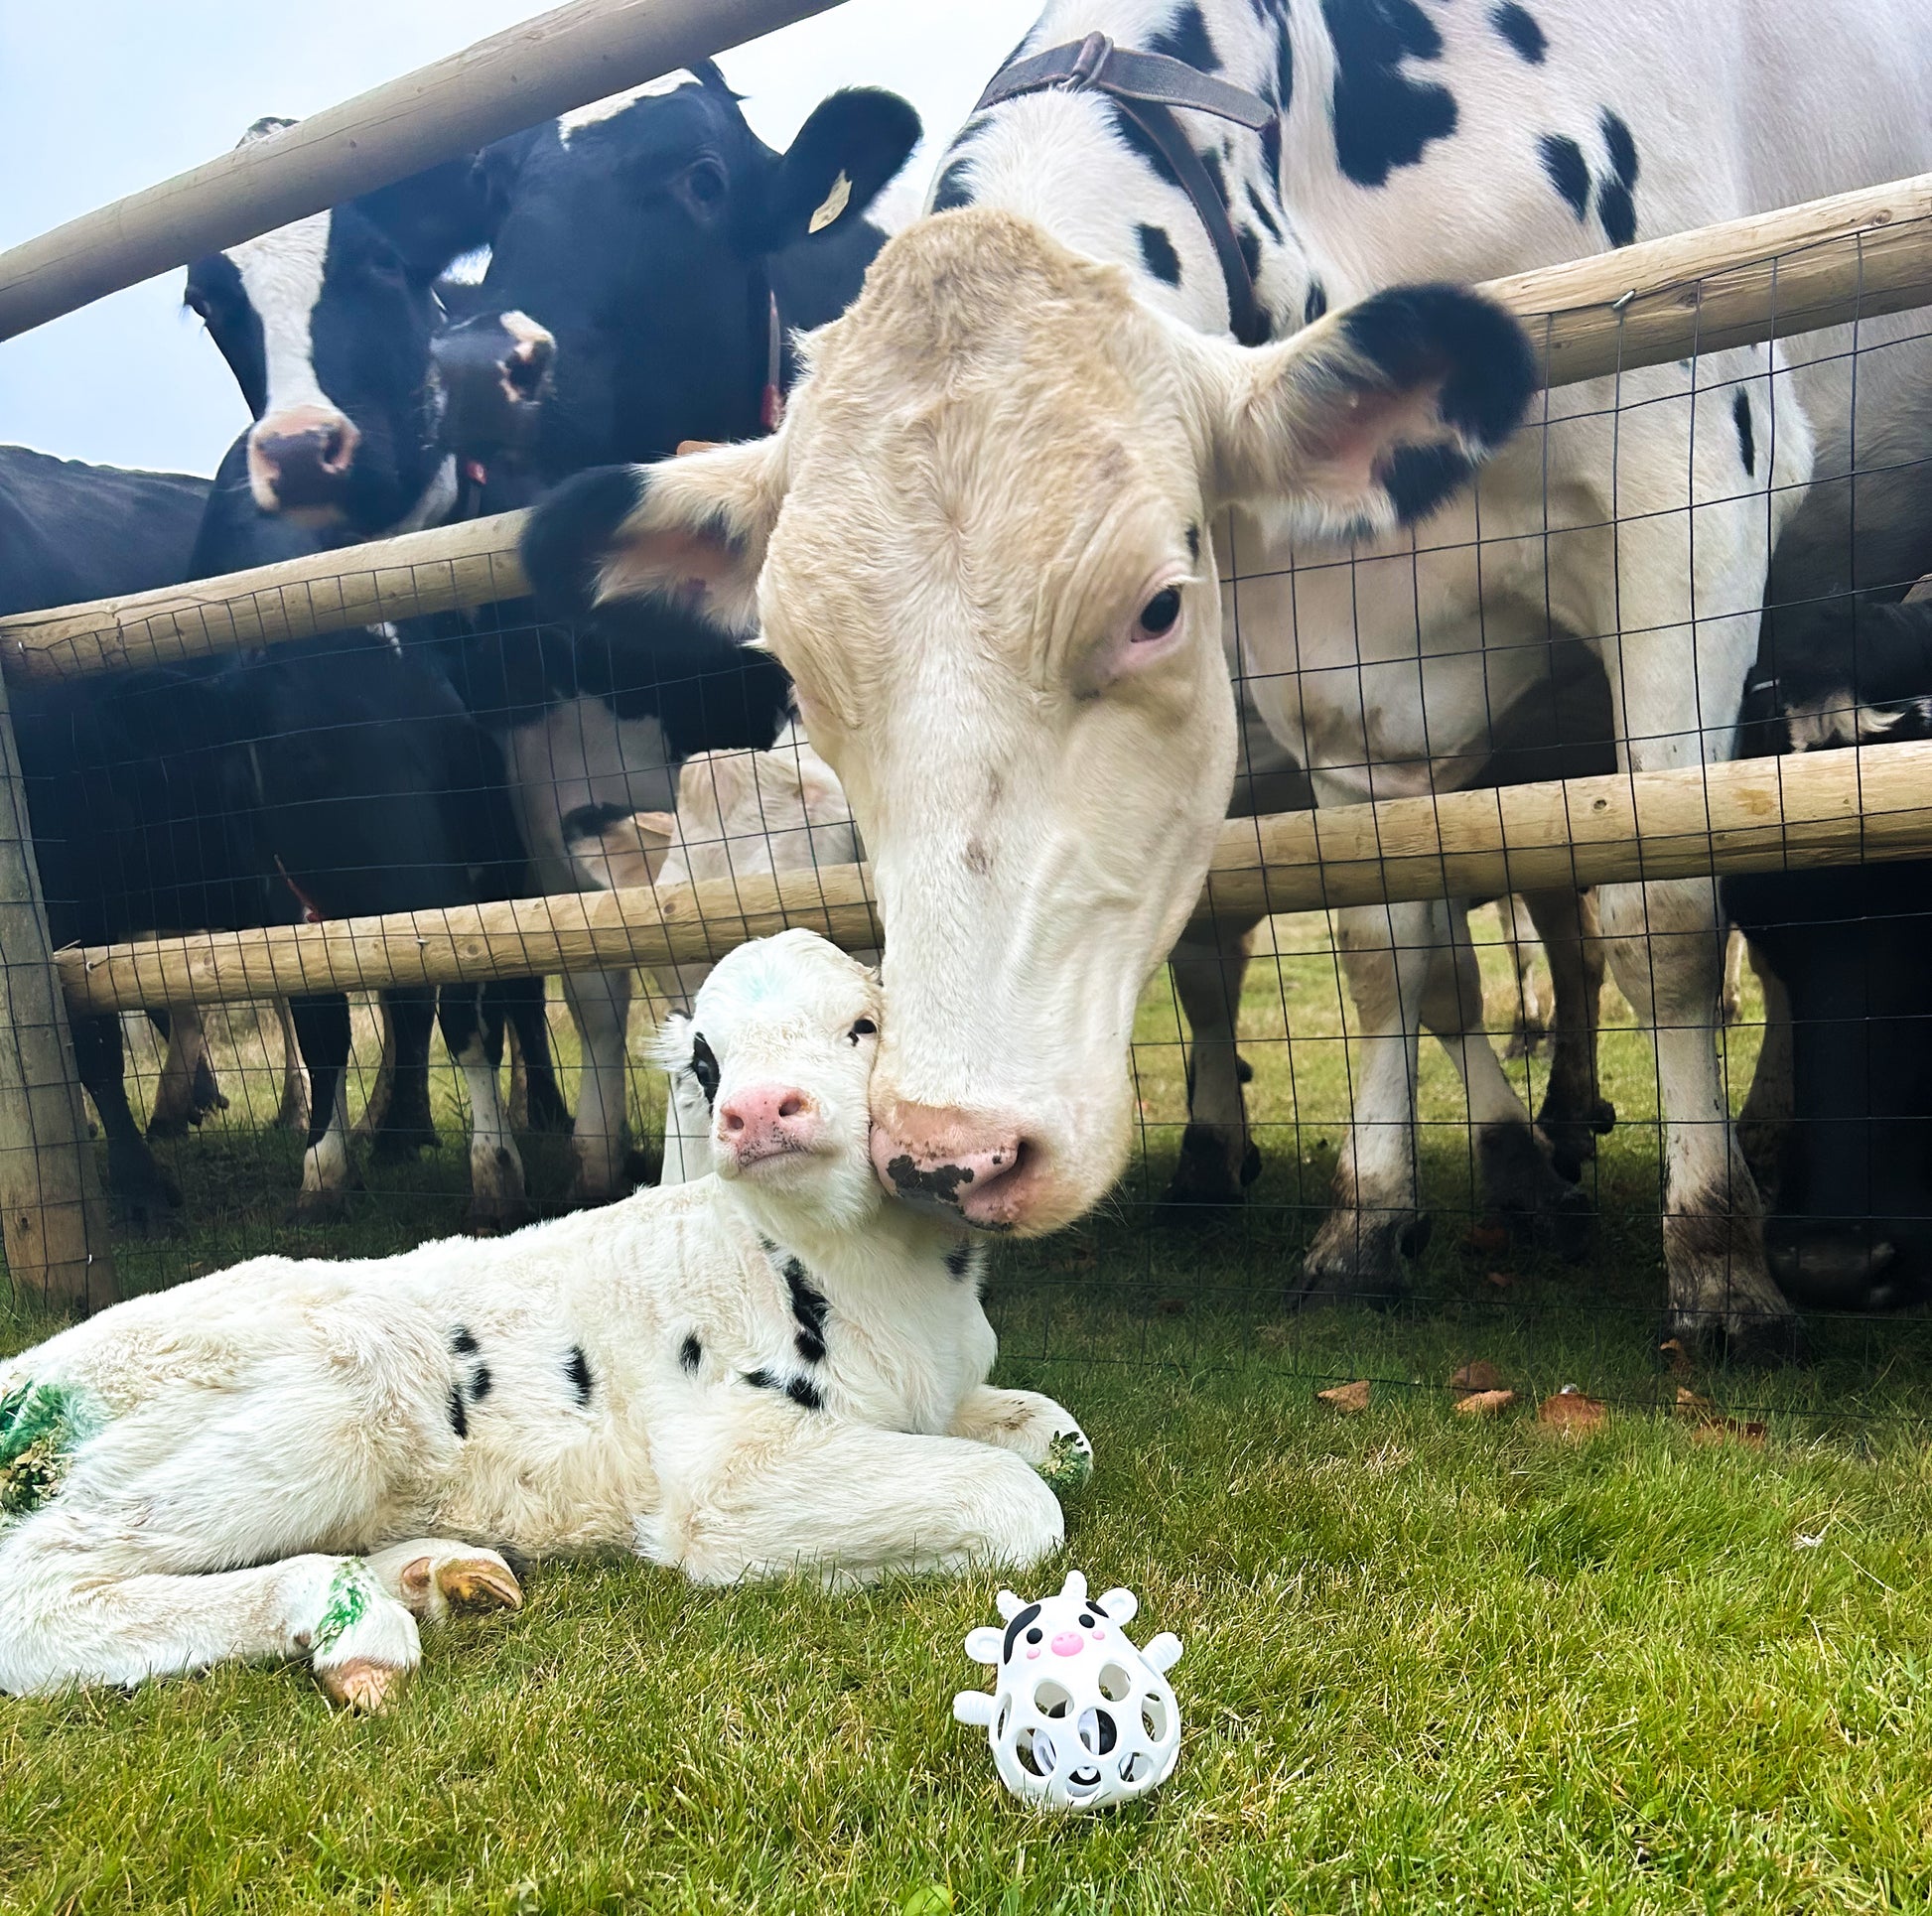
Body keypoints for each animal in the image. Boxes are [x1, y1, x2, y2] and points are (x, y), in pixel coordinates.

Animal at [0, 932, 1087, 1709]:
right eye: (706, 1058)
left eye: (862, 1025)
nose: (756, 1110)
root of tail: (32, 1370)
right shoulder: (728, 1471)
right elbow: (1018, 1502)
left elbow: (1055, 1435)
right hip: (298, 1416)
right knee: (33, 1594)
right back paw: (347, 1618)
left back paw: (436, 1574)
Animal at [523, 0, 1932, 1357]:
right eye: (802, 667)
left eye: (1157, 607)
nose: (947, 1152)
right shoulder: (1337, 676)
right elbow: (1388, 952)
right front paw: (1366, 1221)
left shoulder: (1688, 501)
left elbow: (1668, 914)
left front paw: (1716, 1267)